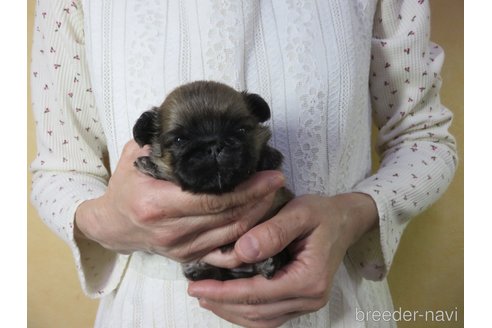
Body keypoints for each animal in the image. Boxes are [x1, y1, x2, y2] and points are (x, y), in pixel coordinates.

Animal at [132, 80, 292, 280]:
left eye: (241, 130)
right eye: (179, 140)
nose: (214, 145)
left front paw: (268, 157)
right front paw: (149, 165)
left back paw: (269, 262)